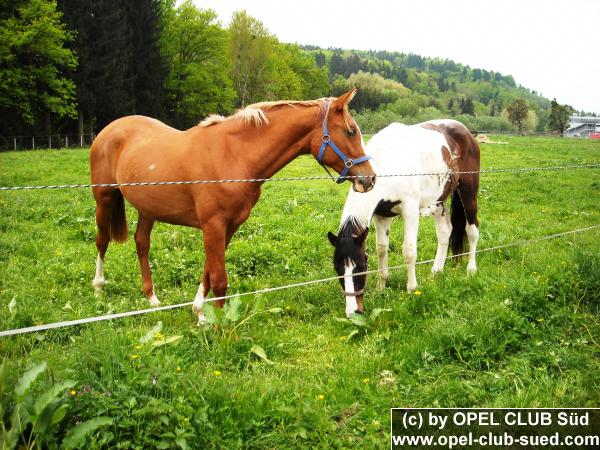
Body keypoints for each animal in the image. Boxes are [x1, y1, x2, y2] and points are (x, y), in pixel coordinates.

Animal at [90, 89, 376, 324]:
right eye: (351, 131)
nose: (369, 179)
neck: (234, 155)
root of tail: (109, 130)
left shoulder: (228, 226)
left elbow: (208, 271)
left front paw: (200, 313)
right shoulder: (213, 225)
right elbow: (219, 279)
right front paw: (219, 326)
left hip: (147, 209)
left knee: (141, 243)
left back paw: (151, 298)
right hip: (104, 199)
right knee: (102, 241)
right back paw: (99, 289)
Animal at [328, 119, 478, 316]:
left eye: (361, 267)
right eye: (337, 269)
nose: (354, 312)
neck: (388, 163)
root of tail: (466, 131)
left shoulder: (410, 210)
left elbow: (409, 251)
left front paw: (412, 289)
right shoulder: (381, 216)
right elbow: (381, 248)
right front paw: (381, 286)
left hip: (469, 193)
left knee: (472, 231)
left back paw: (471, 269)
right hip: (439, 201)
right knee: (445, 233)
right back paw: (436, 271)